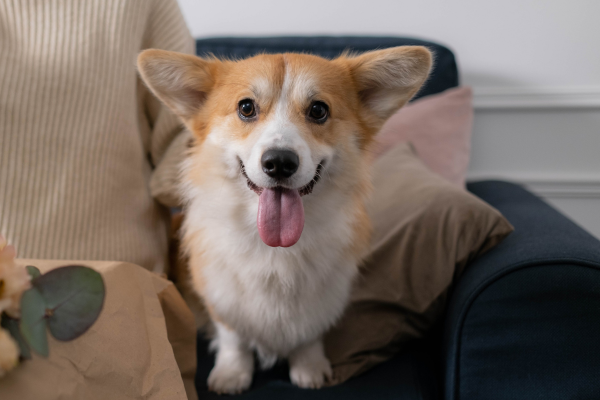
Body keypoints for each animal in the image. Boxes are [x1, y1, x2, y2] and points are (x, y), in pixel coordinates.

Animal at [137, 47, 432, 394]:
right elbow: (233, 337)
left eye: (318, 110)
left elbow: (309, 333)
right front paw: (232, 374)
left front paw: (309, 367)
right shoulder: (220, 295)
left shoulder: (324, 294)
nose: (279, 162)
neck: (275, 248)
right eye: (246, 108)